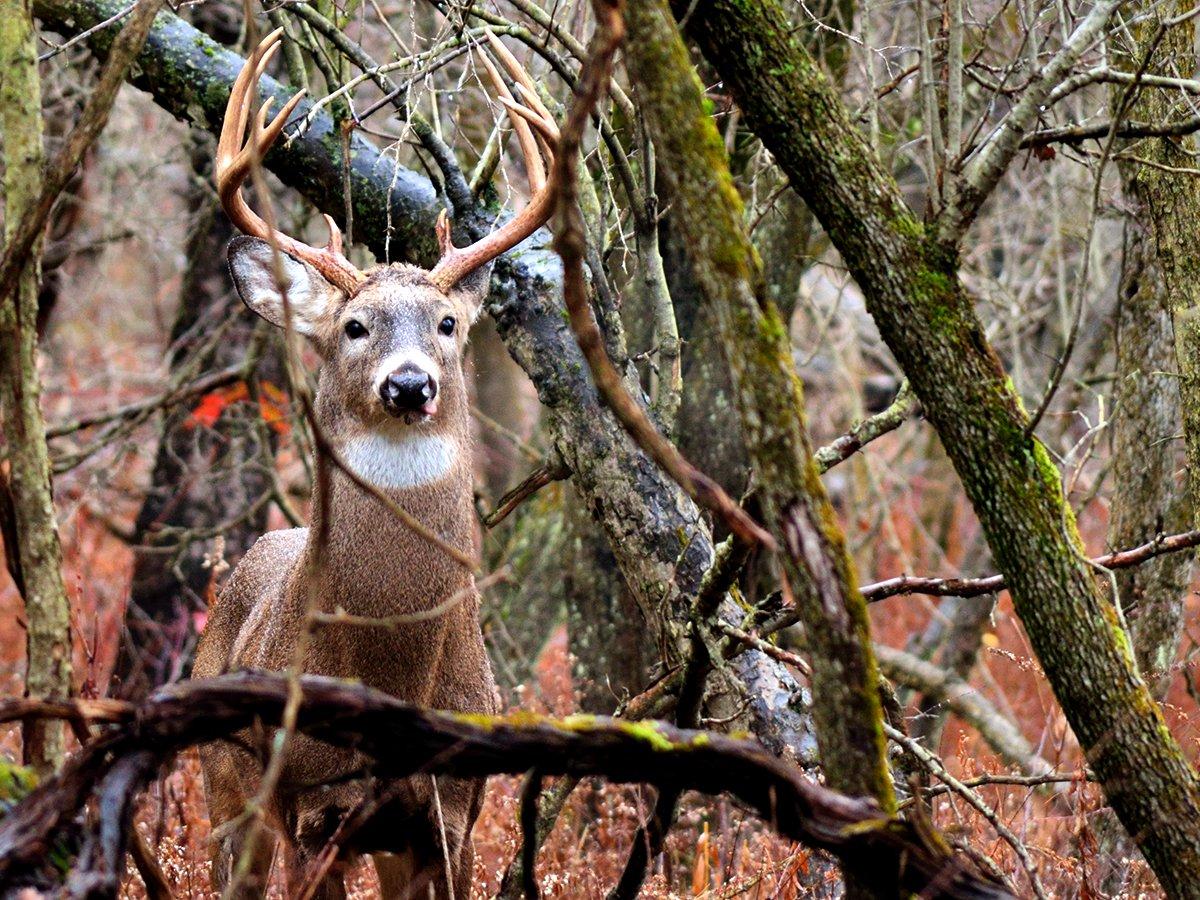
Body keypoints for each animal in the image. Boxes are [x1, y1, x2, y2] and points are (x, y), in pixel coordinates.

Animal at [192, 30, 556, 900]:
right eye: (354, 327)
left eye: (448, 322)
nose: (410, 383)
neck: (394, 668)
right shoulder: (313, 805)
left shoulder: (450, 816)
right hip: (228, 788)